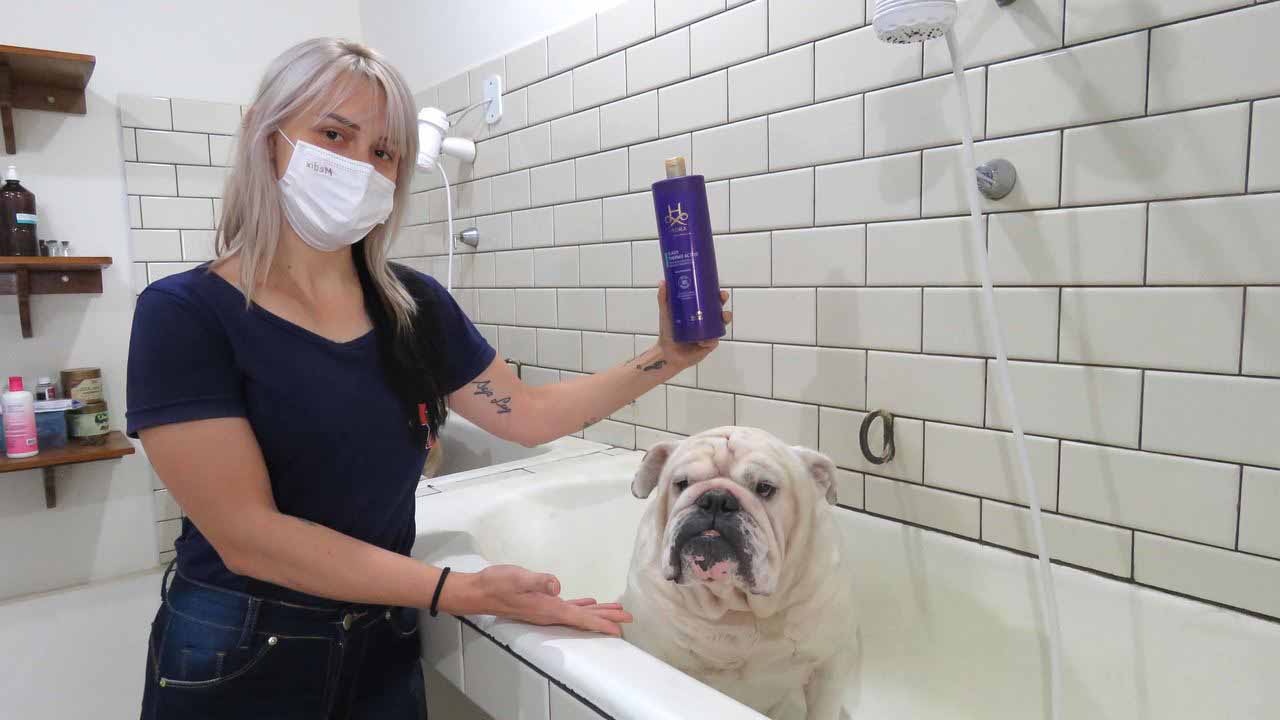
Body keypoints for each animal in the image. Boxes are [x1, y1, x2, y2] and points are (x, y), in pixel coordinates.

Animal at [620, 427, 857, 720]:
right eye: (682, 483)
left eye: (765, 488)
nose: (716, 499)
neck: (733, 603)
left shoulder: (829, 665)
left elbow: (822, 711)